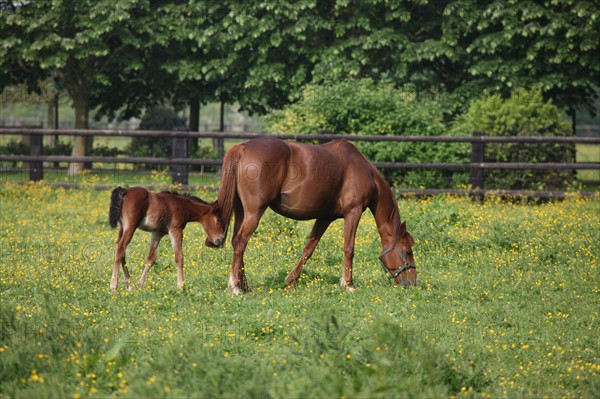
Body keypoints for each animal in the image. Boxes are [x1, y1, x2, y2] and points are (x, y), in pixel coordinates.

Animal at [217, 138, 418, 294]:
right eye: (408, 251)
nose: (413, 283)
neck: (363, 170)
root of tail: (242, 147)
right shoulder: (353, 212)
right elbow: (349, 248)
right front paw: (348, 284)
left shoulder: (325, 218)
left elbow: (309, 248)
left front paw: (291, 280)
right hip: (254, 211)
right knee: (241, 241)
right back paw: (236, 287)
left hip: (241, 211)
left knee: (237, 241)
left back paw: (244, 286)